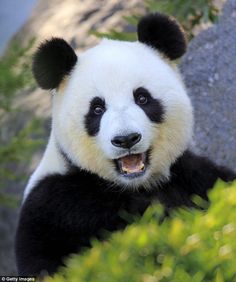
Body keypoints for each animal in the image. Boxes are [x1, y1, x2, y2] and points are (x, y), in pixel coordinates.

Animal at [15, 13, 236, 276]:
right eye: (97, 108)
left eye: (142, 98)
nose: (126, 139)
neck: (133, 185)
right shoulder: (56, 206)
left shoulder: (190, 173)